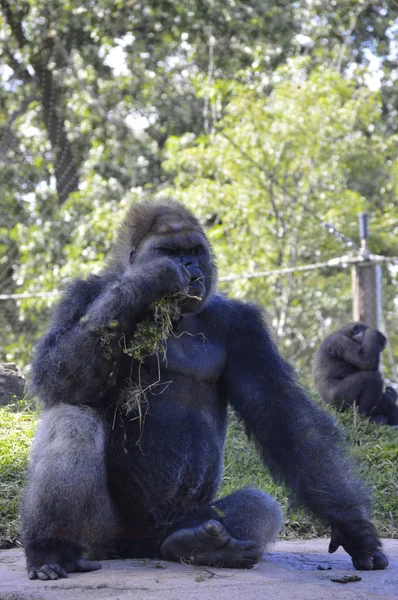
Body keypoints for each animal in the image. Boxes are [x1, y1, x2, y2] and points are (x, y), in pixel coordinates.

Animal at [20, 199, 388, 580]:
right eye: (169, 252)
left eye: (195, 251)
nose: (188, 265)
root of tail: (141, 549)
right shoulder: (80, 295)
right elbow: (57, 376)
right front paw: (147, 280)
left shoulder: (243, 325)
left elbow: (282, 415)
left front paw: (353, 526)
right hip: (105, 538)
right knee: (71, 420)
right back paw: (51, 548)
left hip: (177, 525)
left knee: (259, 506)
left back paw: (198, 545)